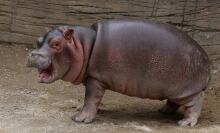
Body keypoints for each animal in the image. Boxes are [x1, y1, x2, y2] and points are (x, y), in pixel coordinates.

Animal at [26, 20, 211, 127]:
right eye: (38, 40)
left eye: (56, 44)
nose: (33, 54)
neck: (83, 45)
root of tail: (207, 62)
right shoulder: (93, 78)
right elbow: (92, 100)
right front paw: (79, 108)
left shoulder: (95, 79)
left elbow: (91, 98)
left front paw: (79, 119)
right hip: (173, 89)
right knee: (174, 102)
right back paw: (164, 111)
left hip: (185, 89)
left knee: (196, 102)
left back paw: (185, 123)